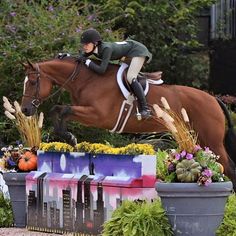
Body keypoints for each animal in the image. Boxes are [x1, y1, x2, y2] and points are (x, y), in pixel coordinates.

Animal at [20, 56, 236, 186]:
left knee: (228, 168)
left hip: (212, 140)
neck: (87, 80)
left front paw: (70, 137)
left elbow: (63, 110)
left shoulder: (98, 115)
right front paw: (67, 137)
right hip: (195, 138)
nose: (25, 109)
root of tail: (213, 99)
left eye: (33, 82)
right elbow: (57, 110)